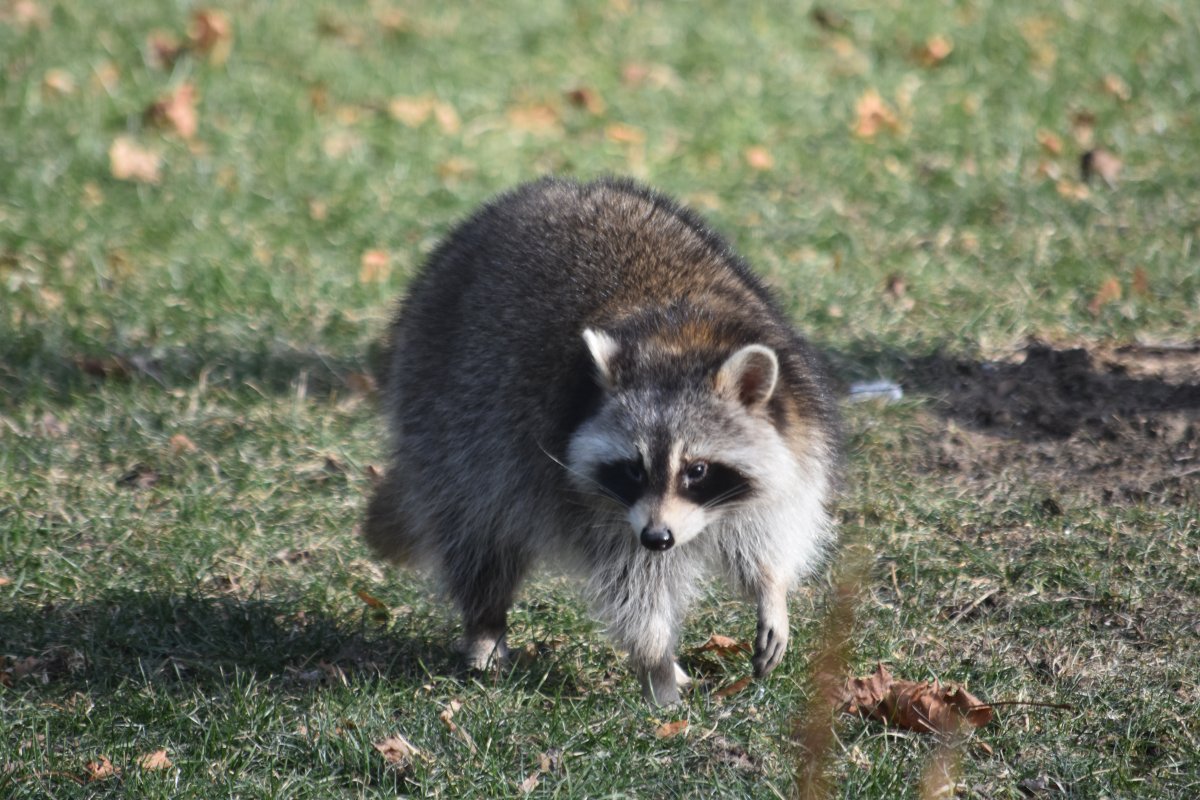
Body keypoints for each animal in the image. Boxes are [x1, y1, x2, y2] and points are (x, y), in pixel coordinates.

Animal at [360, 178, 840, 705]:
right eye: (633, 468)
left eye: (697, 470)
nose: (657, 538)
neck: (680, 338)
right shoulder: (594, 501)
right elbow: (633, 585)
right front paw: (656, 665)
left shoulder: (795, 433)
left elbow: (768, 526)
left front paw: (772, 588)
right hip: (444, 411)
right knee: (477, 530)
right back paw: (486, 623)